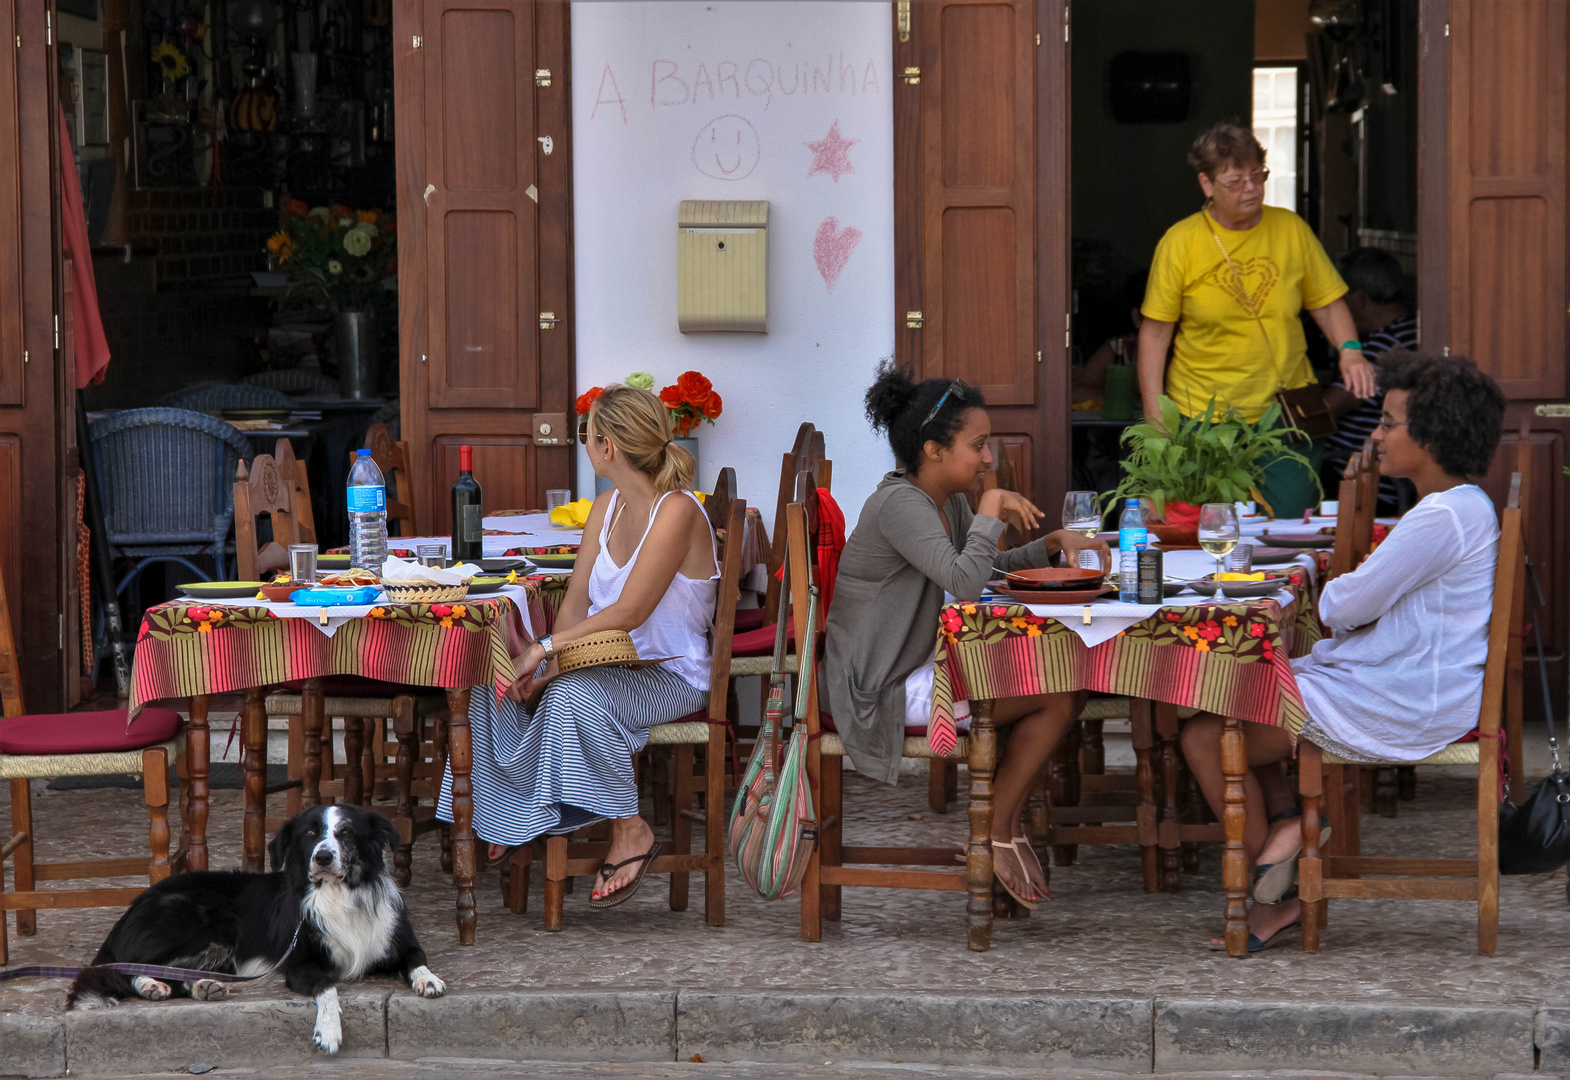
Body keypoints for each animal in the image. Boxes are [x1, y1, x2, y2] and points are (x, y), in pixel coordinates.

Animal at [68, 803, 445, 1048]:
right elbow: (328, 987)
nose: (323, 857)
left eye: (346, 833)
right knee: (126, 967)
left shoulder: (400, 941)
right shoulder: (300, 966)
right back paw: (151, 985)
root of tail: (132, 907)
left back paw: (202, 986)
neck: (339, 894)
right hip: (206, 921)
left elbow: (417, 960)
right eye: (311, 833)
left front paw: (428, 979)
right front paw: (328, 1031)